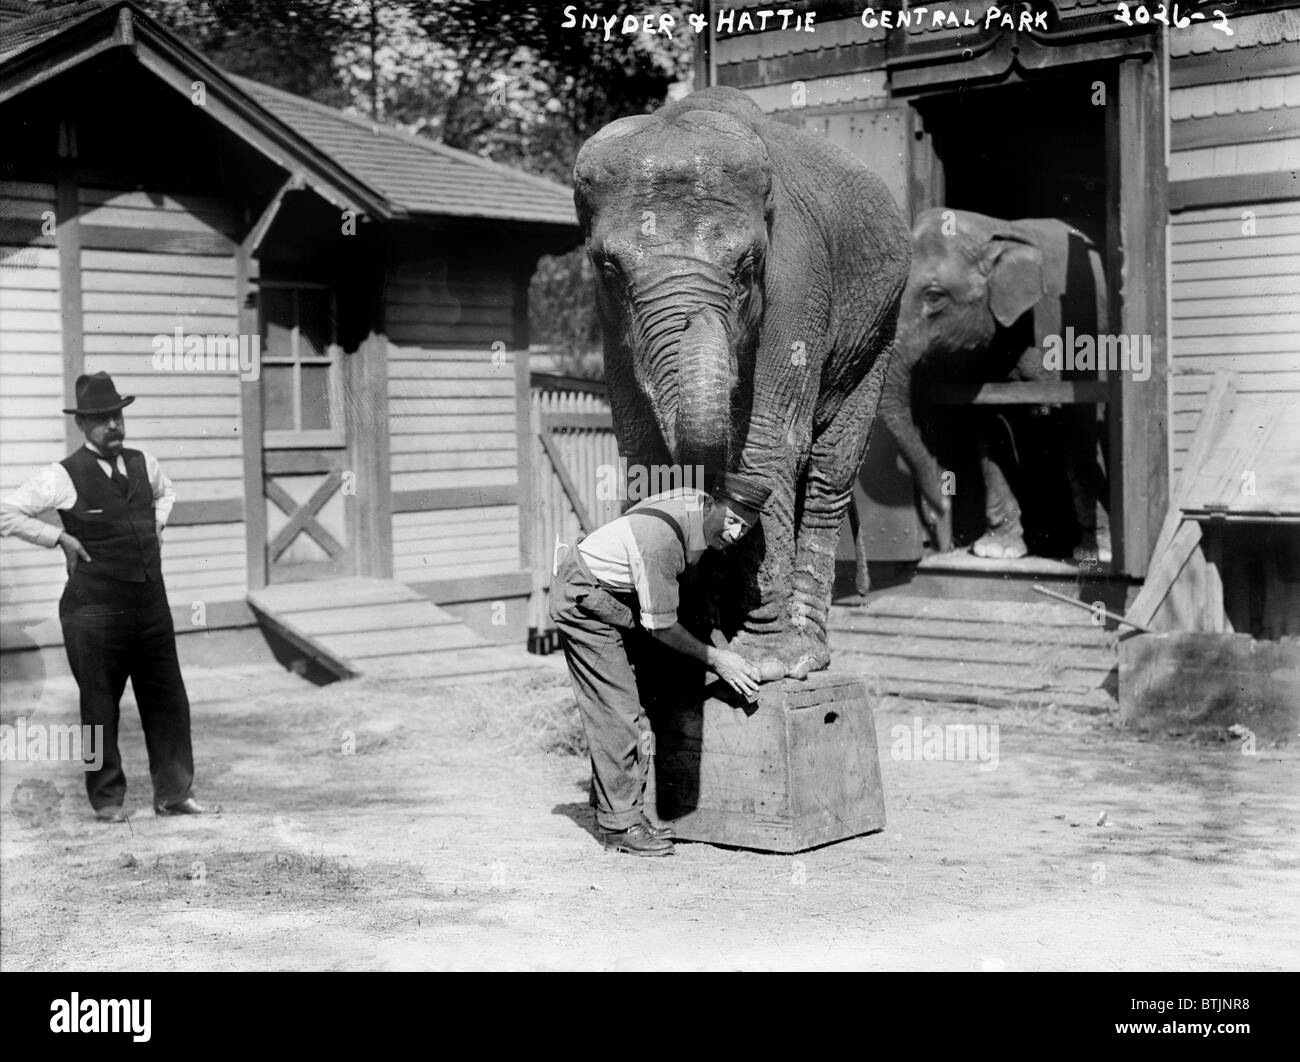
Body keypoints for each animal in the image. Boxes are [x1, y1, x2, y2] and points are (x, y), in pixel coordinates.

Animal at [574, 85, 909, 681]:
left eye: (747, 268)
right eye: (609, 269)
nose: (699, 319)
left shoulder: (798, 282)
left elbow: (766, 443)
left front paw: (768, 662)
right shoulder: (609, 321)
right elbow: (643, 448)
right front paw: (666, 660)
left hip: (880, 326)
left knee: (832, 469)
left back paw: (808, 655)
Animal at [873, 207, 1107, 566]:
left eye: (934, 296)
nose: (941, 507)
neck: (993, 230)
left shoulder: (1075, 331)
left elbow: (1083, 424)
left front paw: (1096, 552)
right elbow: (987, 427)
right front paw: (996, 550)